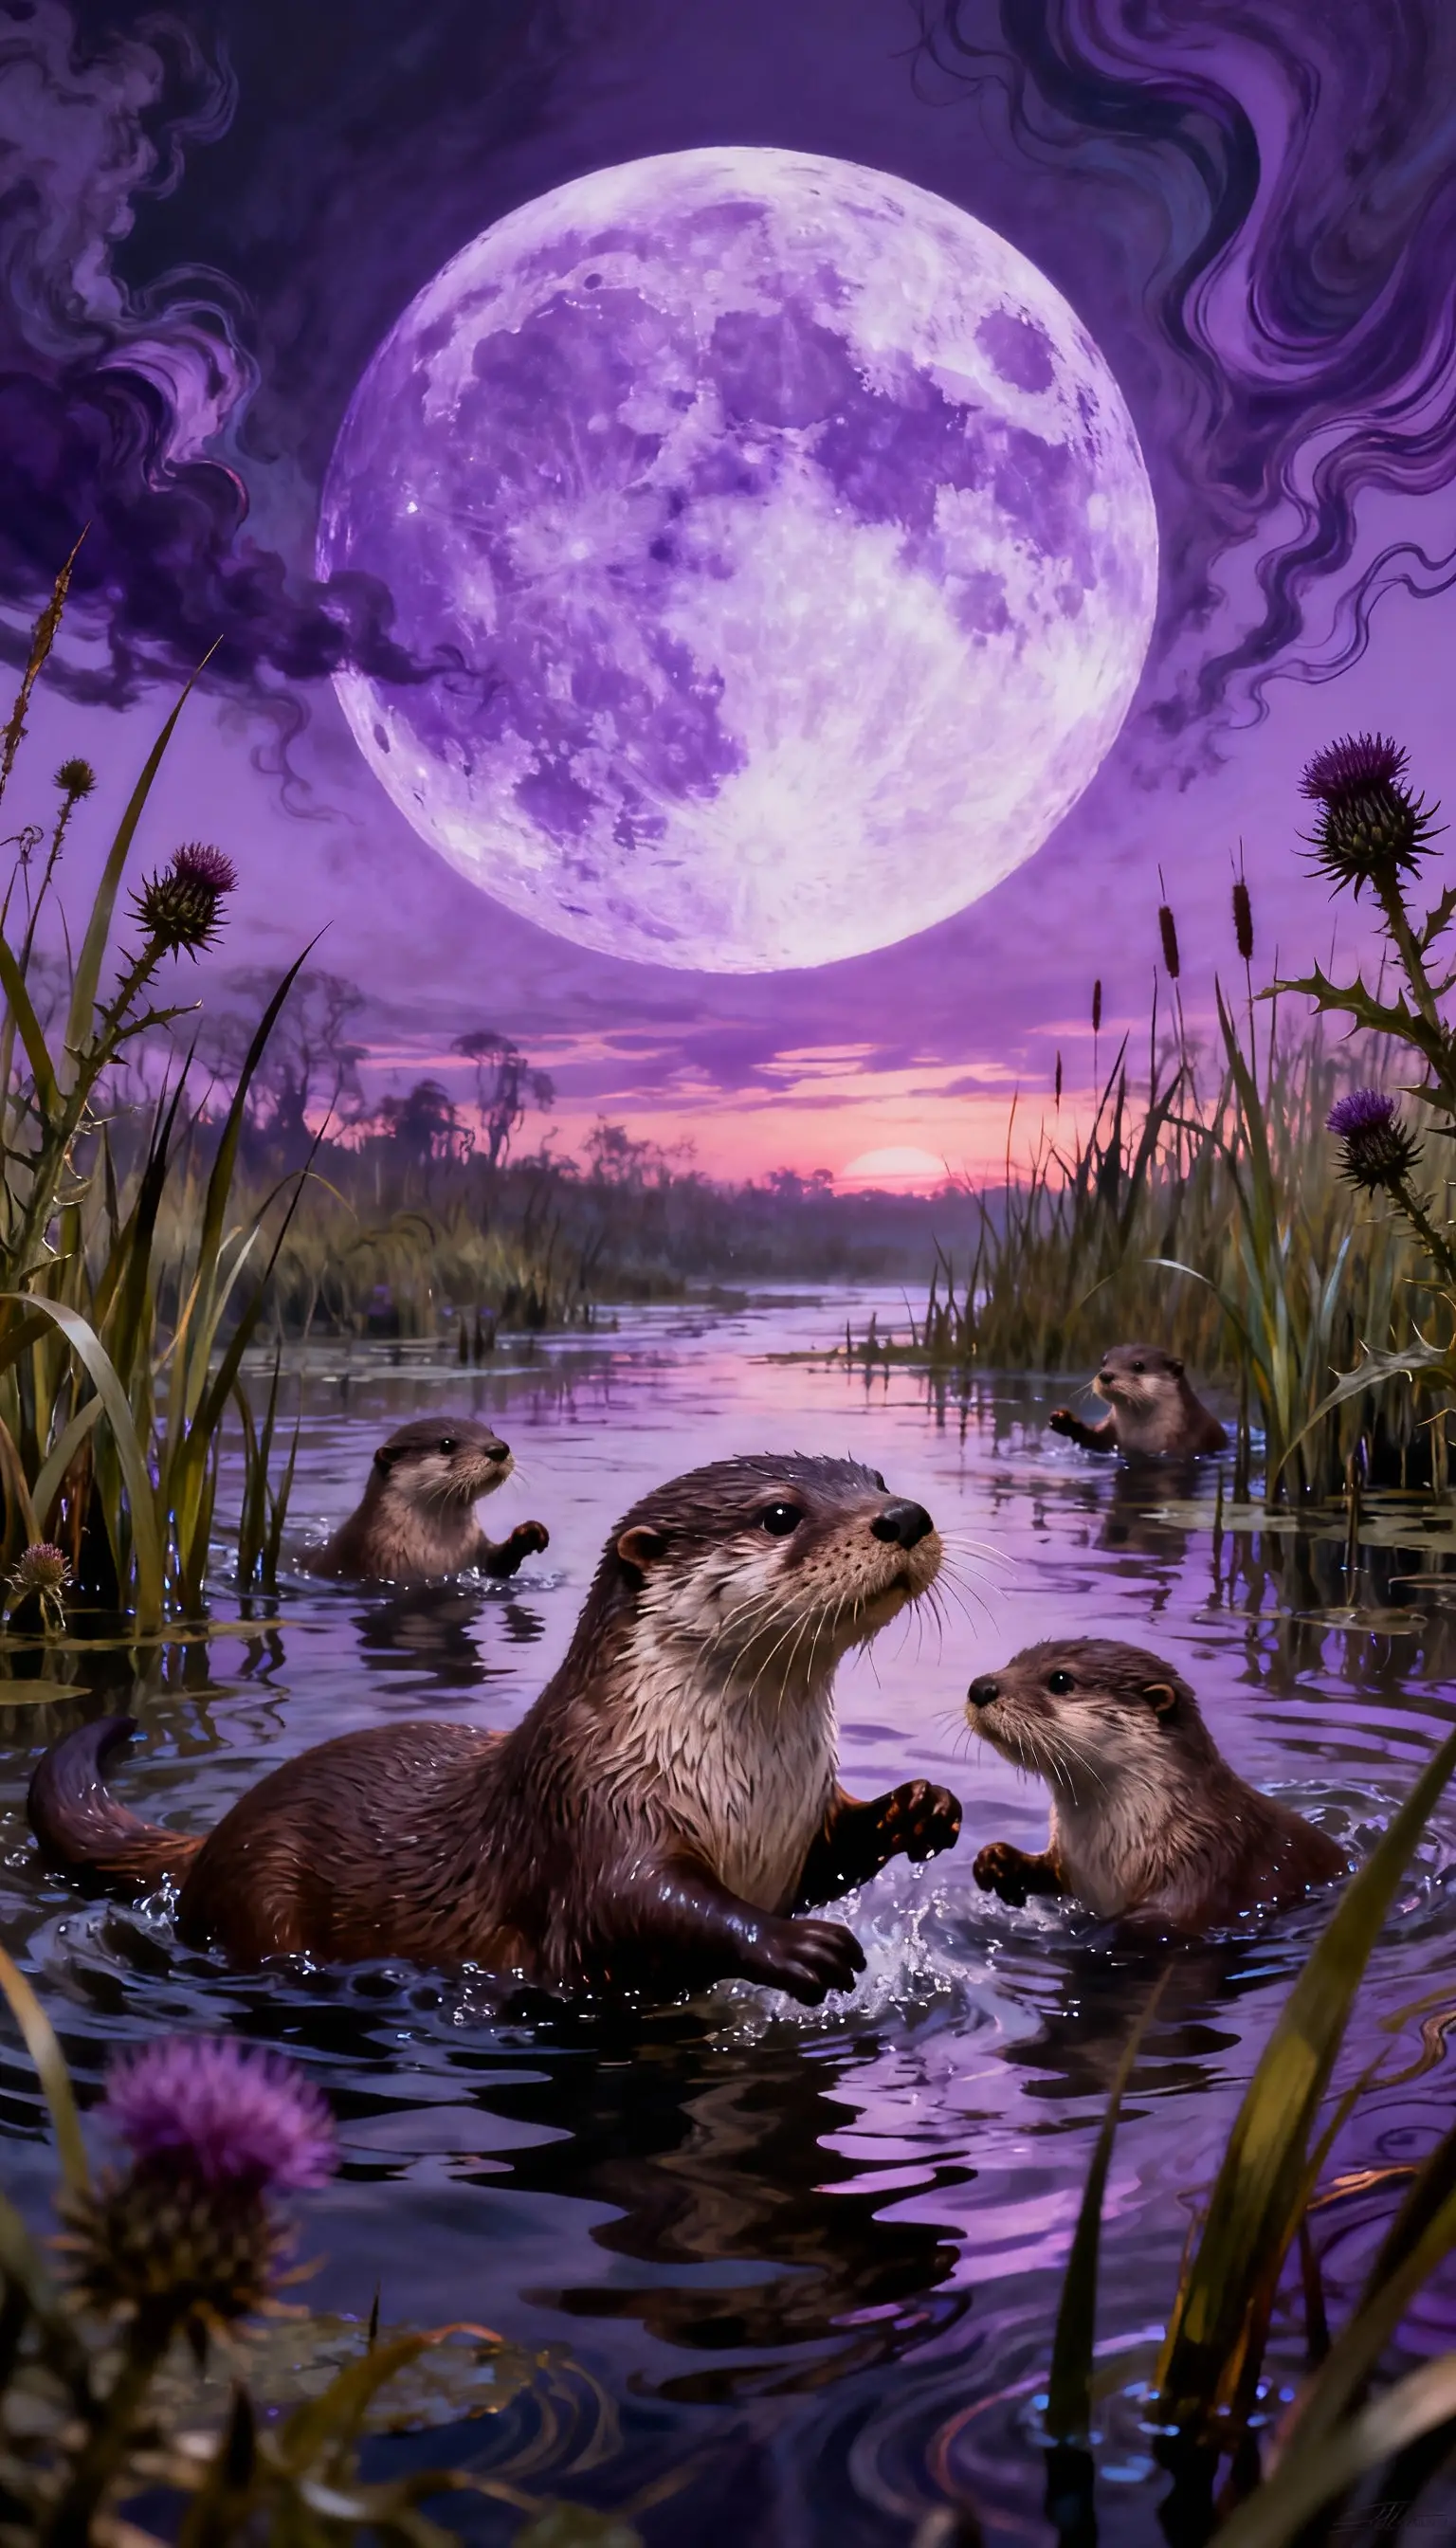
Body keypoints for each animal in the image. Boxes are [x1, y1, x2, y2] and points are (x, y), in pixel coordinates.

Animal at [30, 1454, 960, 2004]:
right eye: (779, 1515)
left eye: (878, 1479)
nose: (906, 1515)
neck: (746, 1786)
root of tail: (213, 1837)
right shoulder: (592, 1806)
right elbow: (641, 1904)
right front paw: (794, 1946)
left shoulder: (796, 1825)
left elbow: (829, 1856)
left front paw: (918, 1807)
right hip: (259, 1897)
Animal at [966, 1637, 1343, 1932]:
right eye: (1013, 1661)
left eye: (1060, 1679)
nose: (980, 1687)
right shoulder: (1072, 1864)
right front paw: (997, 1860)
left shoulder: (1205, 1868)